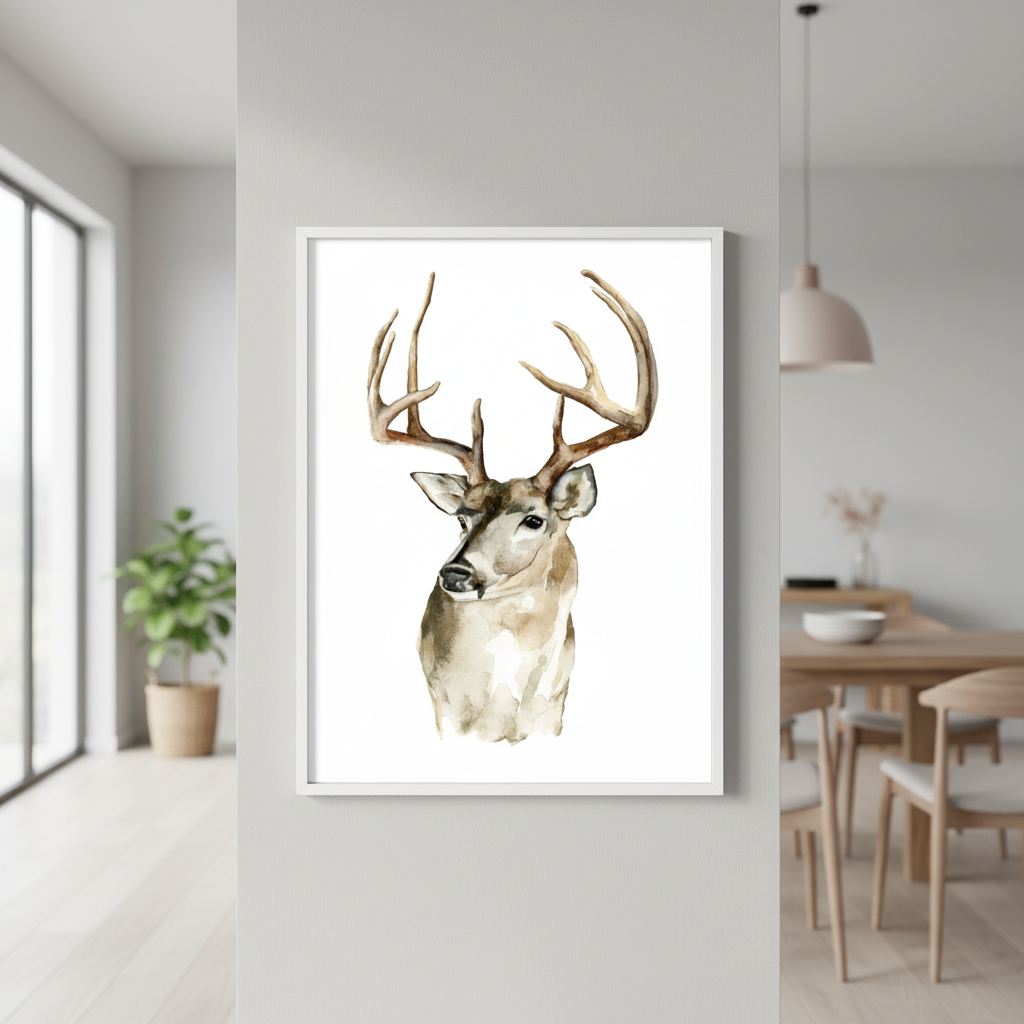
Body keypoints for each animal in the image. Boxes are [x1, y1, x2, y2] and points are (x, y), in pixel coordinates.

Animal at [367, 269, 657, 744]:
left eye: (534, 519)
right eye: (461, 518)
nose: (455, 572)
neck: (500, 712)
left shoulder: (552, 715)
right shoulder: (445, 716)